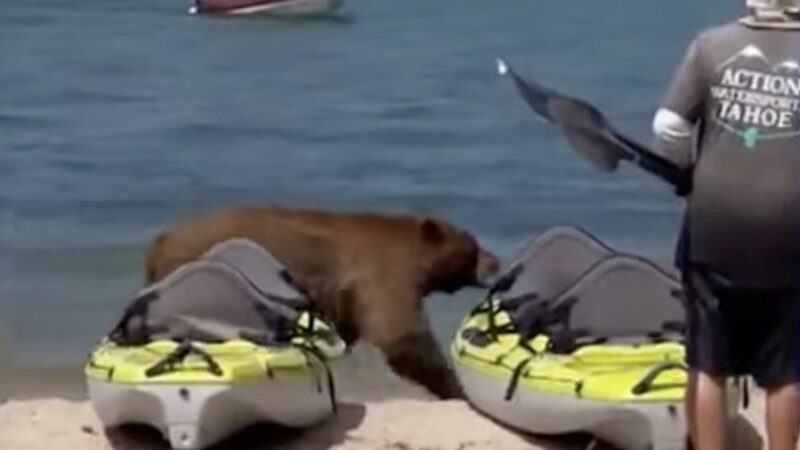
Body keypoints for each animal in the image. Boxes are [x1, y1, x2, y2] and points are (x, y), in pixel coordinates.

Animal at [141, 206, 496, 400]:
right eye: (473, 245)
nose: (494, 262)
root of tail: (160, 242)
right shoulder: (384, 272)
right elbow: (401, 334)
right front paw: (455, 388)